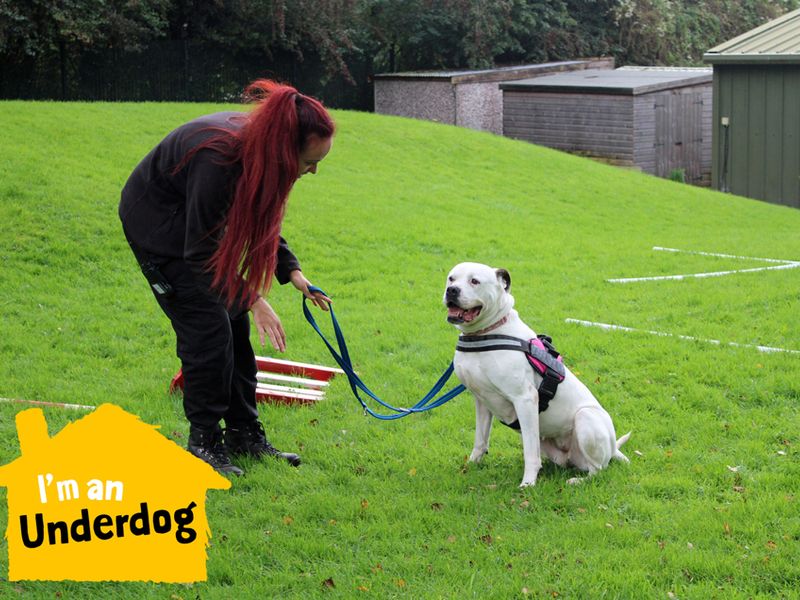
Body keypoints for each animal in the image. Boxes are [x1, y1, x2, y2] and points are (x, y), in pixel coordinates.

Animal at [444, 262, 632, 488]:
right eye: (451, 278)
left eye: (474, 281)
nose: (452, 290)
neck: (485, 332)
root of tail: (613, 448)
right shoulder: (481, 400)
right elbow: (480, 440)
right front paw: (471, 465)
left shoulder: (525, 399)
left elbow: (530, 453)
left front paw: (528, 484)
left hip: (586, 418)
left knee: (598, 469)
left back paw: (577, 481)